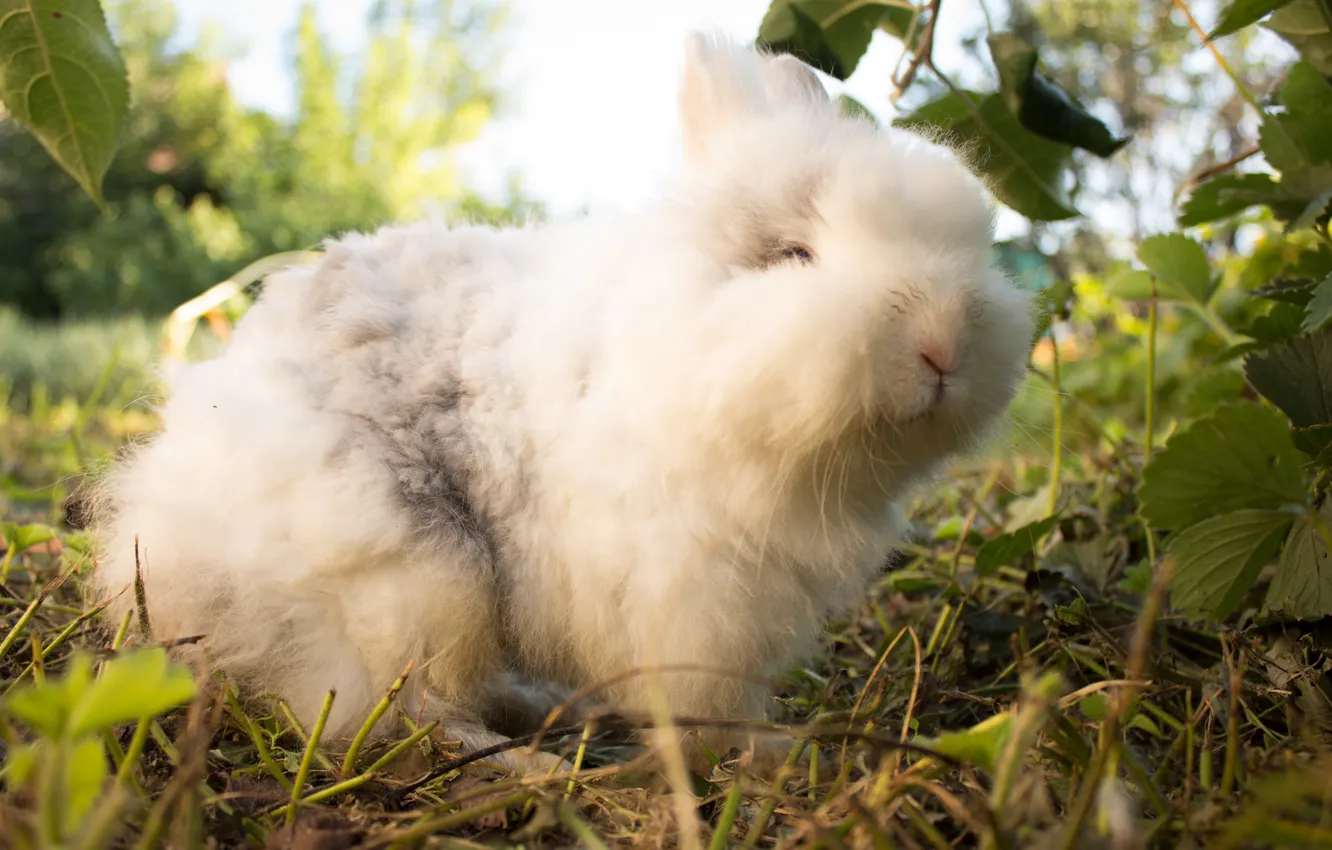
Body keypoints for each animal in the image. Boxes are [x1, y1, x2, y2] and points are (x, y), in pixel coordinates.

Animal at [89, 32, 1034, 776]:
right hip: (413, 575)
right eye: (791, 255)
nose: (943, 346)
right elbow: (704, 700)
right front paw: (762, 754)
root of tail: (164, 540)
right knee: (391, 713)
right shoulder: (693, 593)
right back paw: (529, 765)